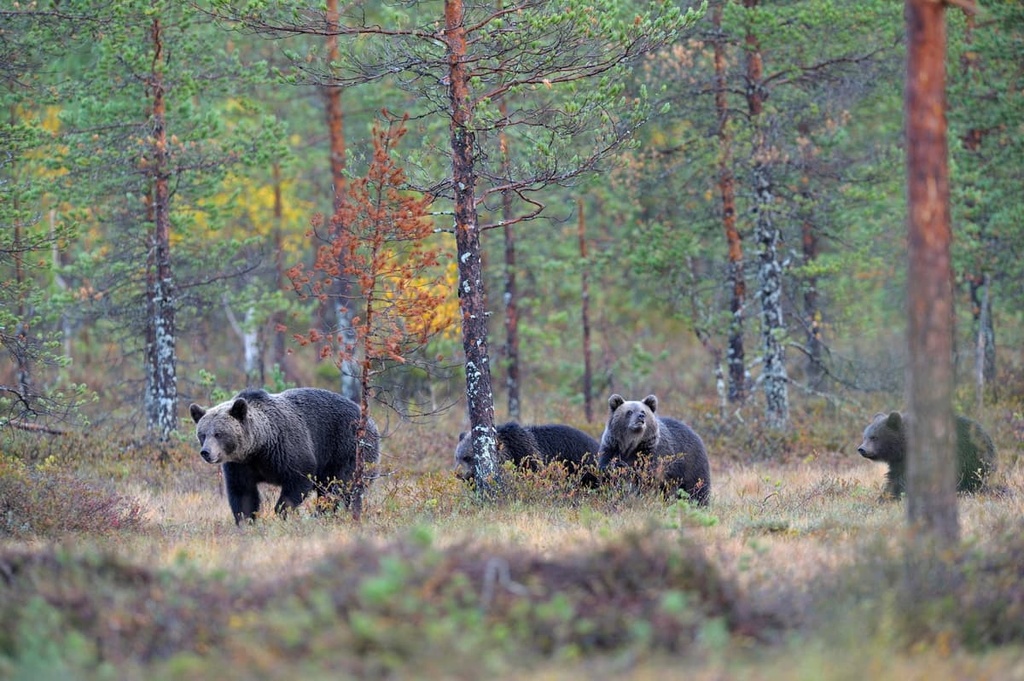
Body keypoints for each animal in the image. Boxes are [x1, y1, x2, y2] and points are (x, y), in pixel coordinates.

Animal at [189, 387, 380, 523]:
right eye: (202, 434)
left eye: (219, 434)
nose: (206, 452)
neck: (259, 447)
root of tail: (370, 420)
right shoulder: (240, 465)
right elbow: (242, 493)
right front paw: (246, 521)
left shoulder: (288, 450)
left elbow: (298, 482)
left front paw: (282, 512)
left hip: (347, 449)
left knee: (339, 486)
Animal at [856, 411, 996, 499]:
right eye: (865, 437)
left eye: (874, 437)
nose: (861, 449)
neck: (903, 446)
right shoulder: (899, 461)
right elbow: (895, 477)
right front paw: (885, 496)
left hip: (970, 456)